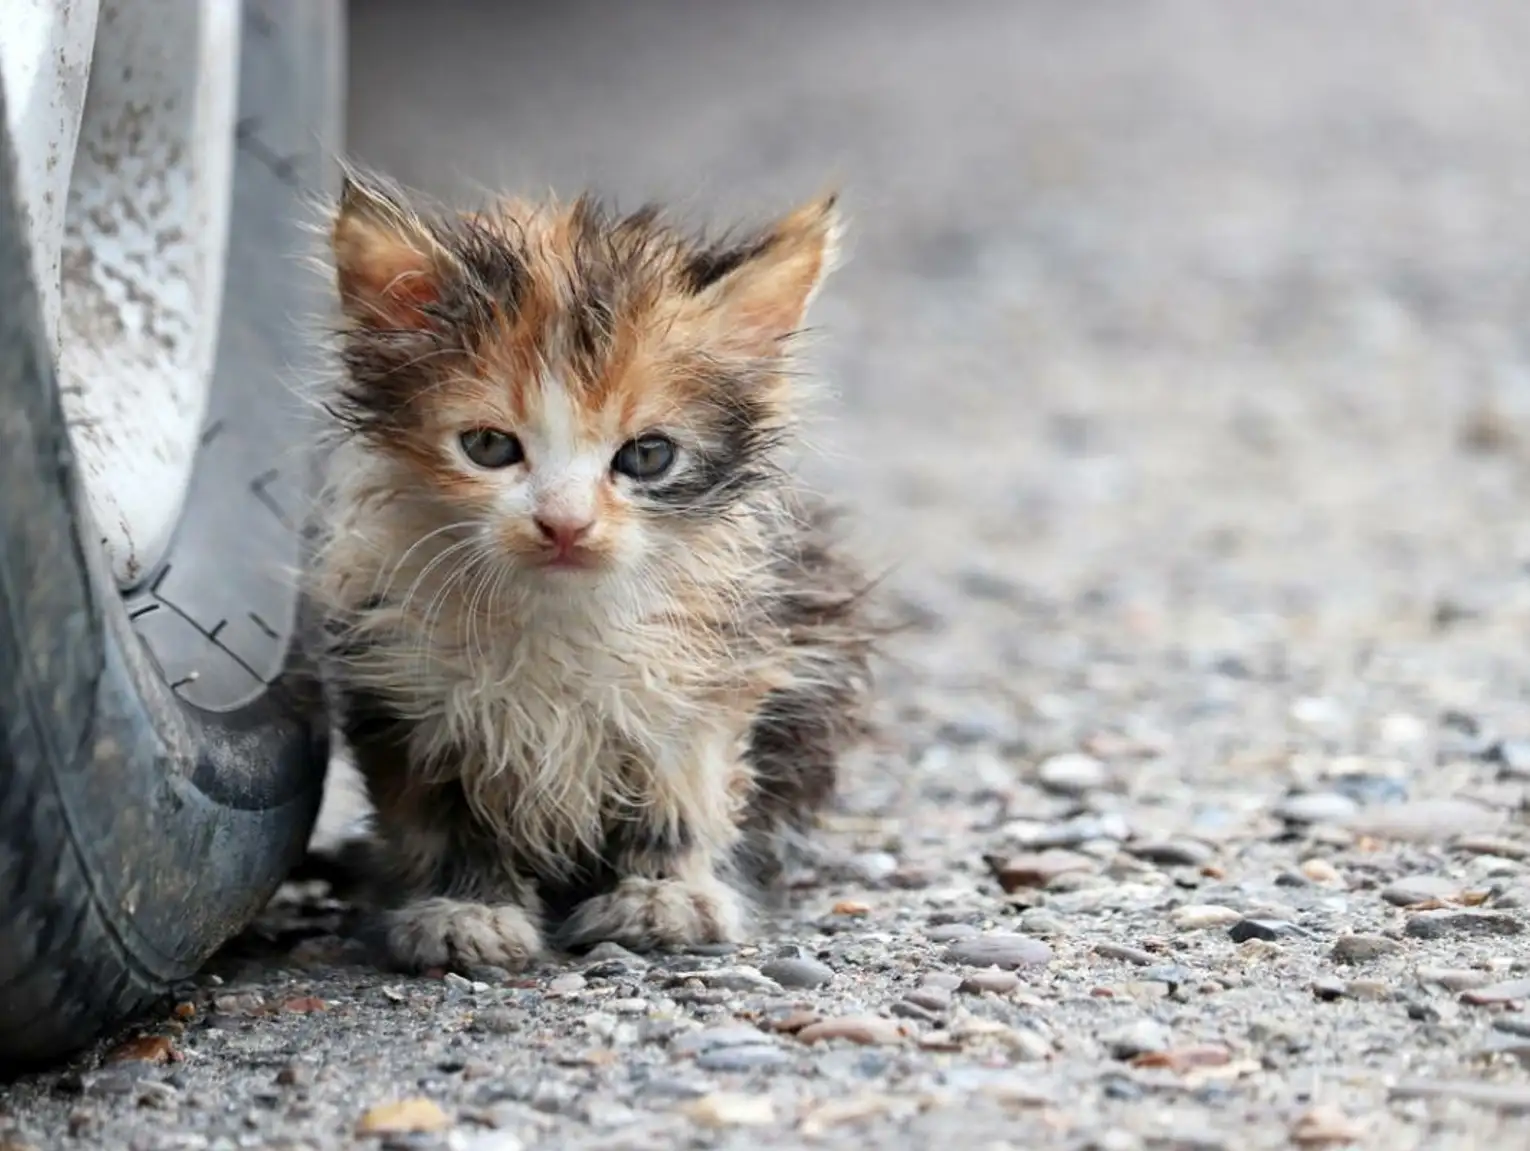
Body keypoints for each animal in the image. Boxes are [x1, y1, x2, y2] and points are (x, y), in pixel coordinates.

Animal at [313, 170, 875, 973]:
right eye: (488, 446)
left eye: (647, 456)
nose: (565, 524)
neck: (555, 612)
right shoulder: (403, 684)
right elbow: (440, 815)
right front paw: (467, 909)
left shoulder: (713, 672)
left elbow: (683, 792)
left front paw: (666, 896)